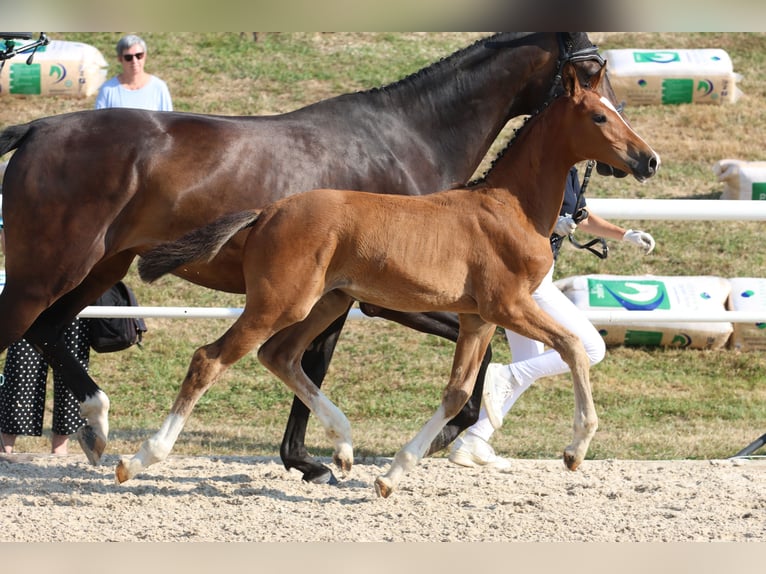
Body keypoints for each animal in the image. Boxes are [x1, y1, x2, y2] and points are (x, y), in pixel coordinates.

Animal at [0, 33, 619, 483]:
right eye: (590, 76)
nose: (631, 158)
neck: (407, 136)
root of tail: (37, 128)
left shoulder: (343, 295)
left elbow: (306, 363)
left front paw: (322, 456)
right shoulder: (389, 300)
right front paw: (343, 456)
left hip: (96, 269)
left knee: (50, 330)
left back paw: (97, 427)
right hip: (47, 272)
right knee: (27, 328)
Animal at [124, 61, 659, 496]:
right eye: (599, 117)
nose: (648, 160)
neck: (509, 206)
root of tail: (268, 211)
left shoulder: (478, 319)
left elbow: (458, 392)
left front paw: (392, 475)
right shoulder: (507, 305)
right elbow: (572, 347)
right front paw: (576, 449)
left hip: (326, 302)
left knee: (280, 356)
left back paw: (341, 448)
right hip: (280, 303)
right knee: (210, 359)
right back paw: (140, 459)